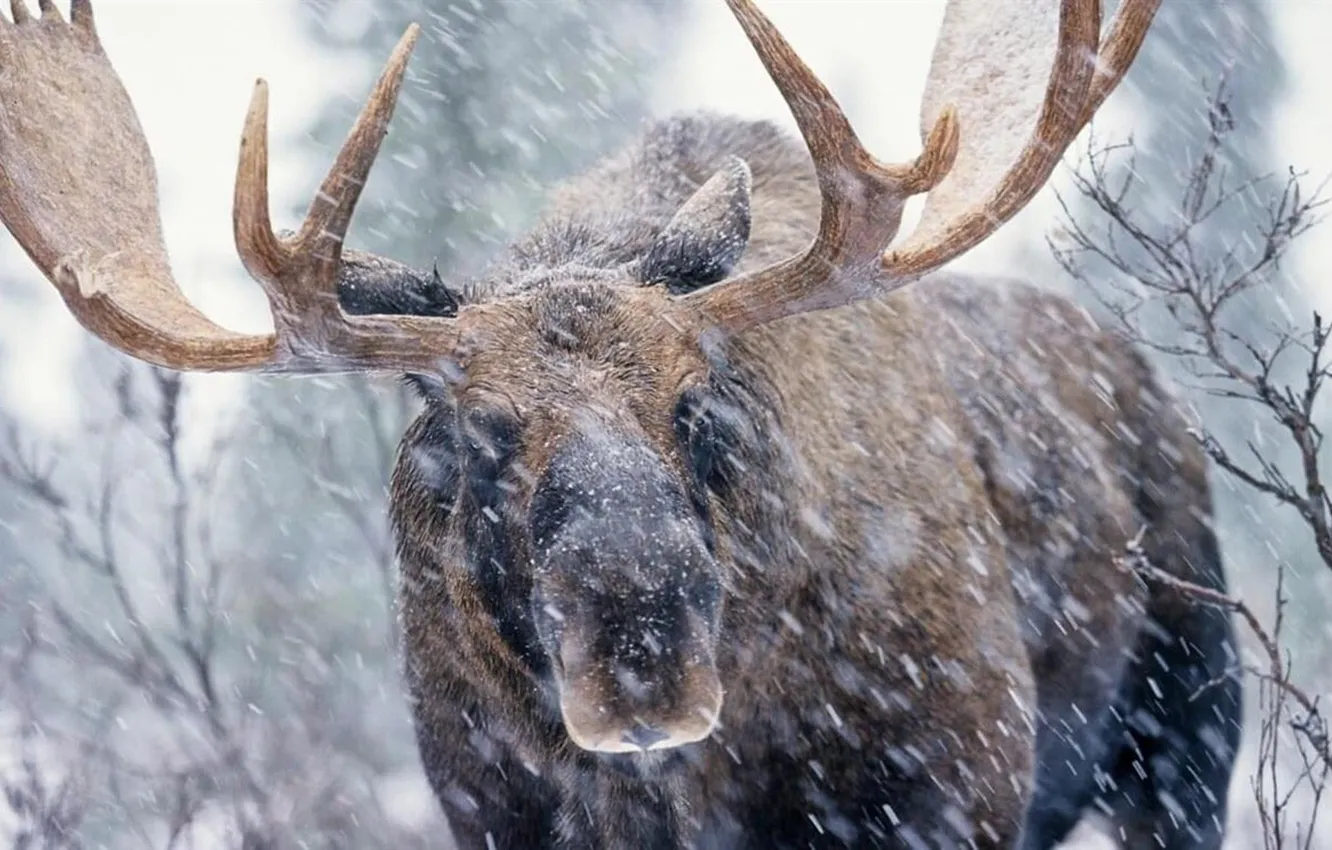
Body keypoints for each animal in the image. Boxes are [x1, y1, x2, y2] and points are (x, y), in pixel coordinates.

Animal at [0, 1, 1242, 848]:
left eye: (696, 397)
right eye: (478, 426)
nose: (642, 647)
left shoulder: (956, 791)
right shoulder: (491, 812)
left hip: (1188, 729)